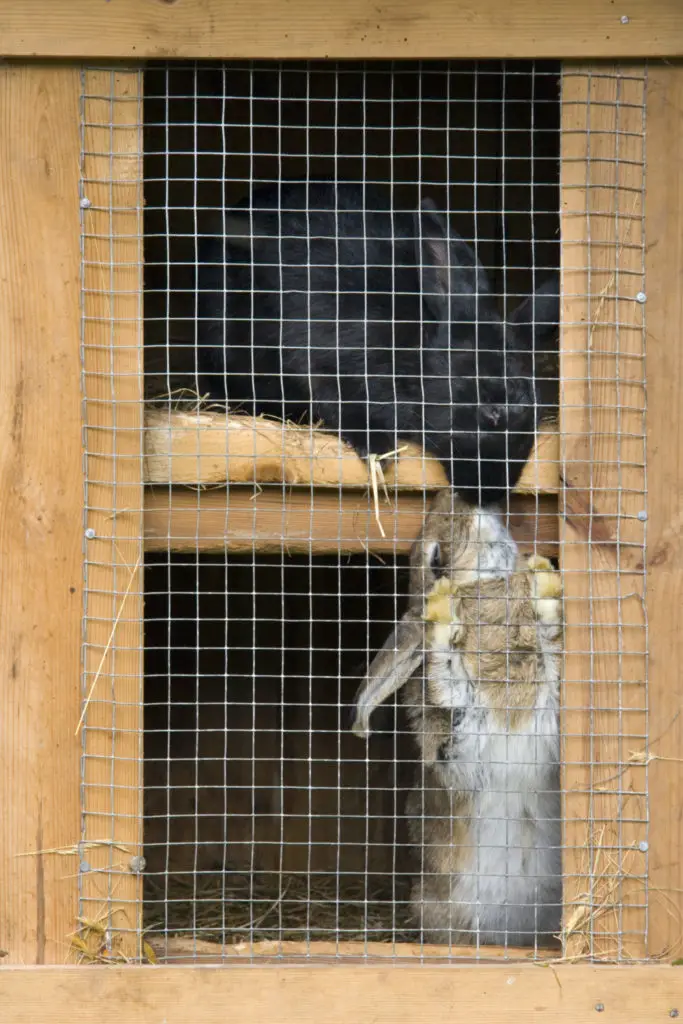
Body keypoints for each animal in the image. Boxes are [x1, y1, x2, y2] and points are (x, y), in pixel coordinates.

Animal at [194, 185, 557, 507]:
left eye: (536, 417)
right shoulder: (326, 361)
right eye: (491, 411)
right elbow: (341, 404)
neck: (415, 353)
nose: (490, 493)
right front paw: (379, 451)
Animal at [352, 491, 561, 946]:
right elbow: (447, 683)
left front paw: (544, 586)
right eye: (436, 559)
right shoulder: (458, 752)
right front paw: (441, 619)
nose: (452, 494)